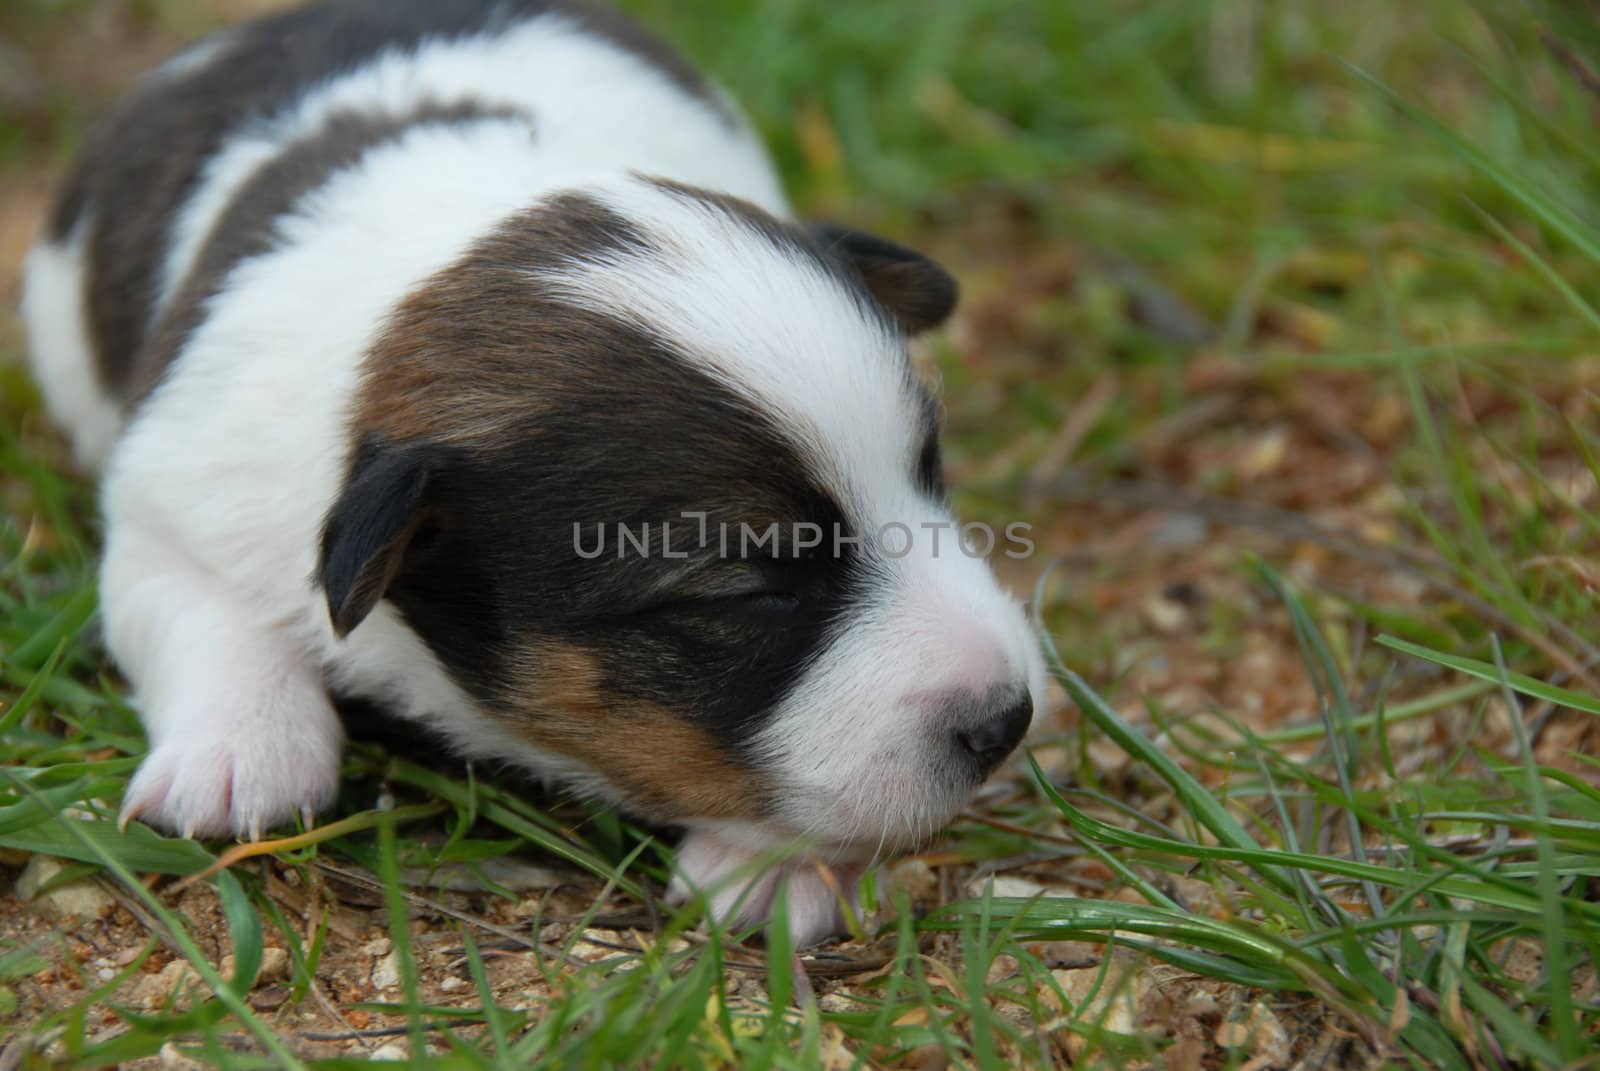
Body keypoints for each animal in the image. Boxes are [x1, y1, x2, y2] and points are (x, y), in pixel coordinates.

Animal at [28, 0, 1049, 941]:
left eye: (929, 472)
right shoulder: (168, 489)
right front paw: (241, 752)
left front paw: (784, 865)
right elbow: (194, 607)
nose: (1008, 720)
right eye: (743, 592)